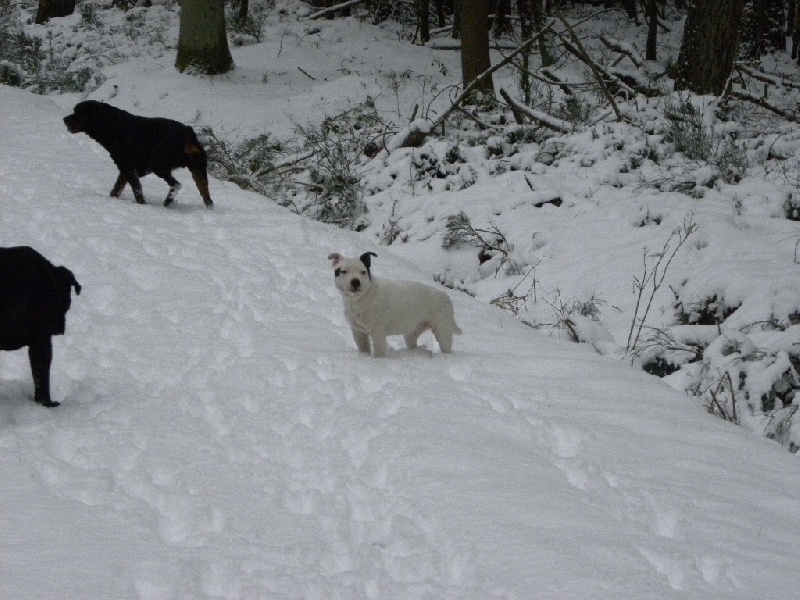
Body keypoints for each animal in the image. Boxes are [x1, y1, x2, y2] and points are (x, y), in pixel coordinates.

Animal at [63, 100, 212, 209]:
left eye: (77, 113)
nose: (64, 118)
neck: (110, 125)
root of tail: (188, 134)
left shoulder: (127, 167)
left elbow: (137, 190)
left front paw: (141, 204)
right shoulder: (127, 170)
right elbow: (116, 189)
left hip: (159, 166)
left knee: (176, 184)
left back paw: (168, 201)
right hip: (198, 168)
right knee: (206, 195)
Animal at [326, 252, 462, 358]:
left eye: (363, 272)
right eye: (343, 271)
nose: (355, 281)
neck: (360, 299)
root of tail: (445, 296)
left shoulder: (378, 334)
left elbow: (378, 353)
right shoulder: (358, 333)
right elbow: (363, 349)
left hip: (442, 330)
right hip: (412, 332)